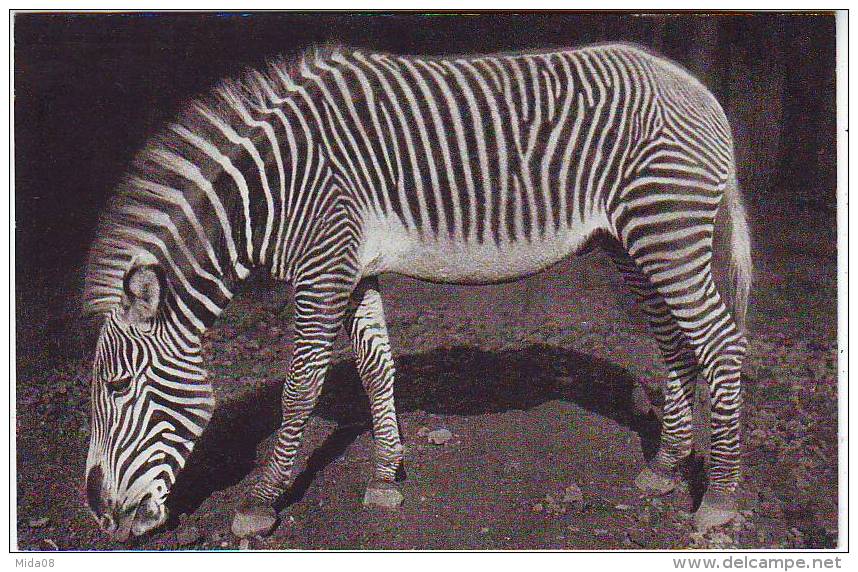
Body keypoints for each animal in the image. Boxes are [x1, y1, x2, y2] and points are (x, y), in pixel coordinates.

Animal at [80, 41, 748, 540]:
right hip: (632, 243)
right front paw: (384, 476)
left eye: (116, 387)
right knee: (676, 343)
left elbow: (300, 389)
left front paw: (260, 502)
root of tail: (699, 89)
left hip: (666, 233)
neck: (269, 193)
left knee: (721, 346)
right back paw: (667, 466)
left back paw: (718, 500)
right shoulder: (352, 268)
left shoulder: (323, 267)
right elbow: (376, 366)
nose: (100, 516)